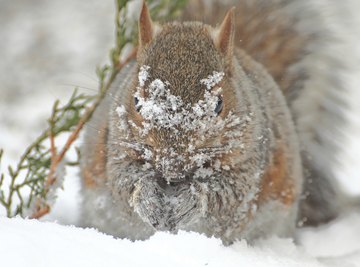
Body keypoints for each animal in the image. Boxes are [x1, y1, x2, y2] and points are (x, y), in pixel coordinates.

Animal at [79, 0, 352, 245]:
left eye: (218, 104)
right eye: (136, 101)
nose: (172, 168)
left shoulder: (250, 159)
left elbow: (227, 193)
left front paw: (191, 201)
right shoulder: (116, 145)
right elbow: (123, 180)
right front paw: (146, 198)